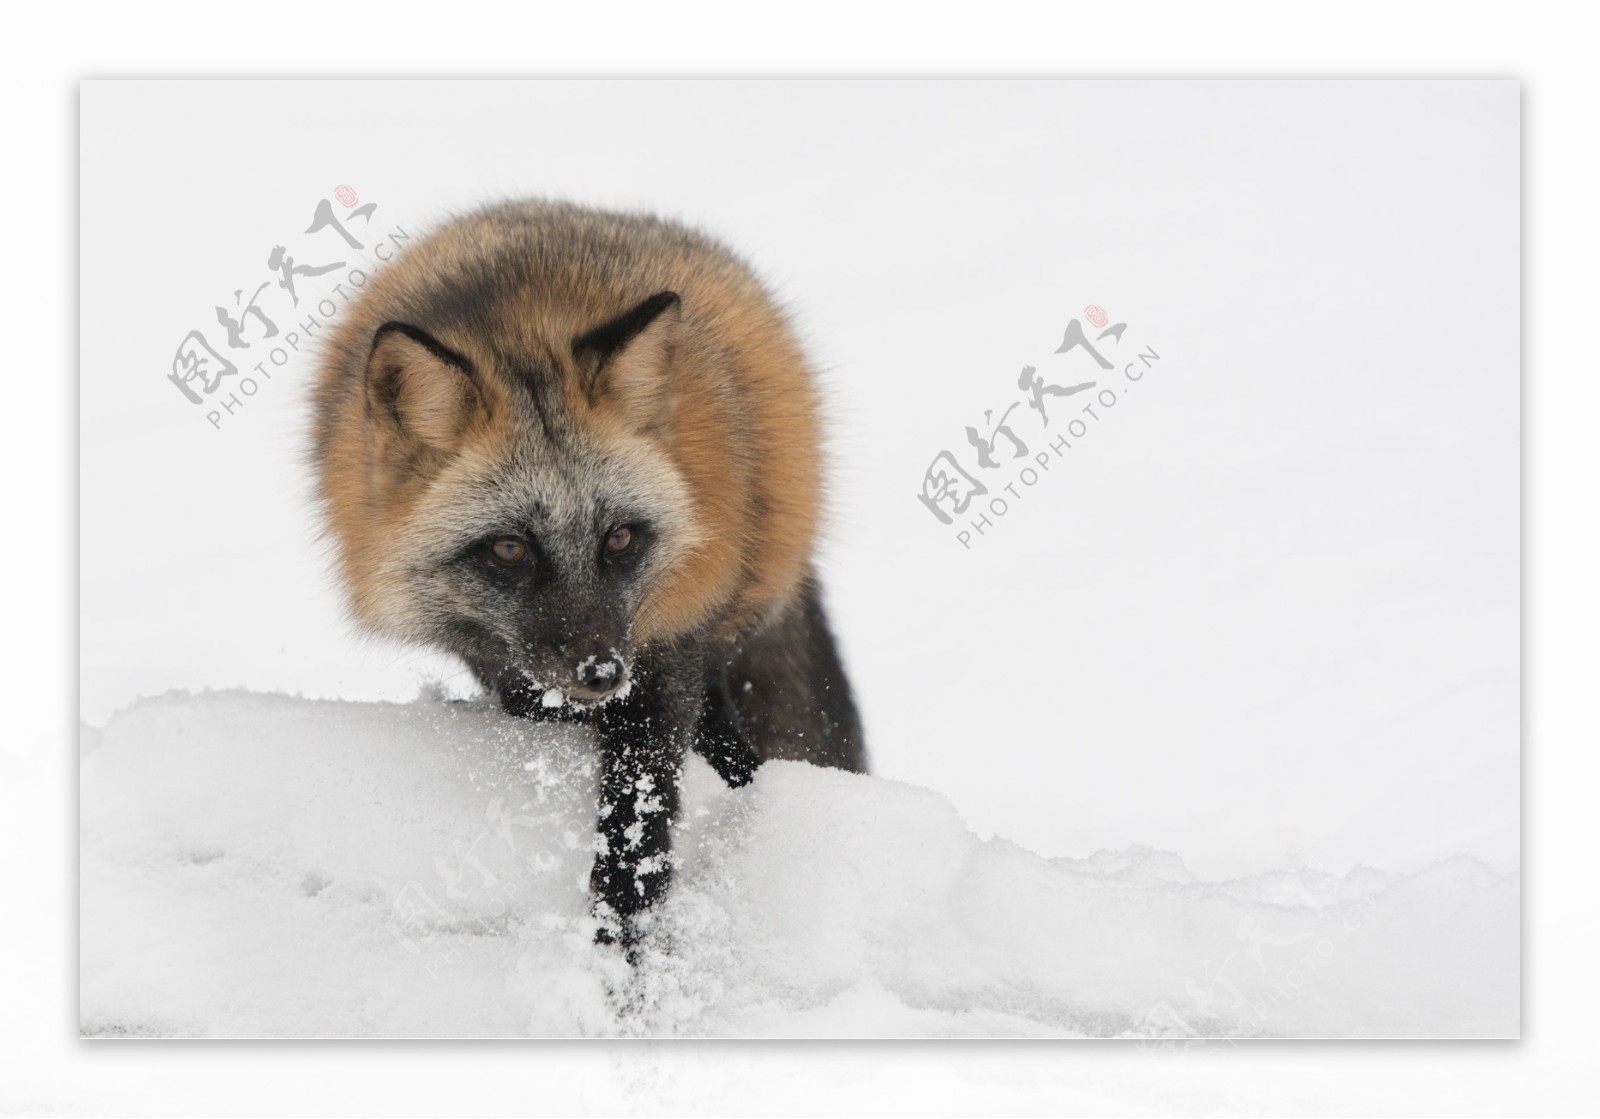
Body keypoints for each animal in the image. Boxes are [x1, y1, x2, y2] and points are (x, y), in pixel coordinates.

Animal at [307, 199, 870, 954]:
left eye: (620, 538)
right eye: (510, 548)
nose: (601, 673)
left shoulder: (667, 646)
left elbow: (638, 820)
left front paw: (624, 946)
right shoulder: (501, 663)